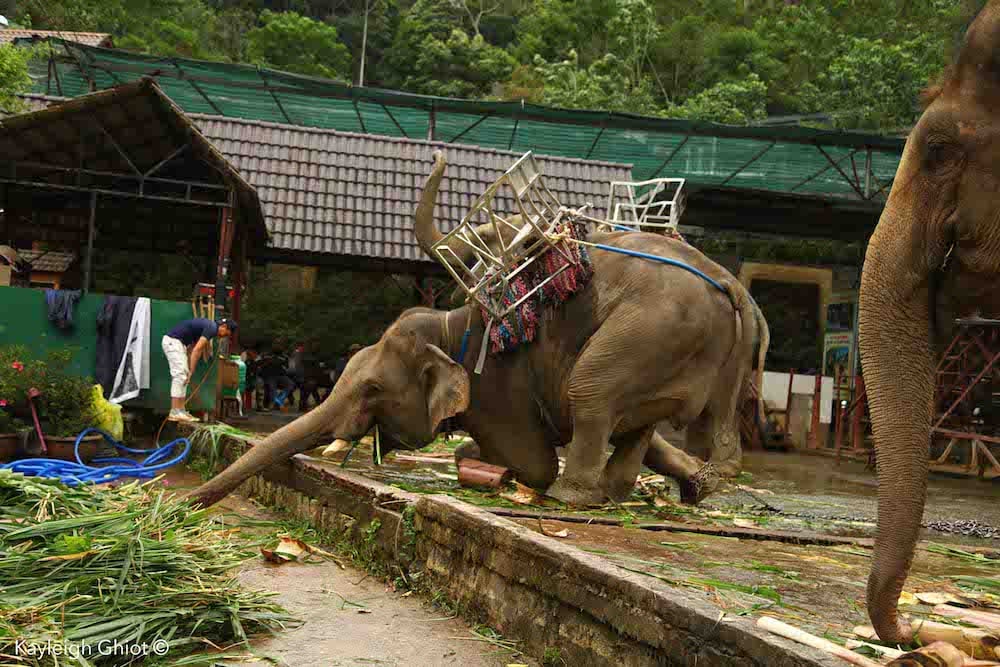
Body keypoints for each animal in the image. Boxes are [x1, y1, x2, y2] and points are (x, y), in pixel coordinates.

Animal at [188, 150, 764, 506]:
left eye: (372, 389)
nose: (182, 505)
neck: (454, 327)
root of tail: (726, 282)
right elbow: (647, 440)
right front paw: (691, 484)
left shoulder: (501, 387)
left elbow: (533, 459)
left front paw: (488, 465)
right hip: (686, 349)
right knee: (648, 423)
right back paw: (658, 488)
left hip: (649, 332)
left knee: (590, 393)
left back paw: (569, 495)